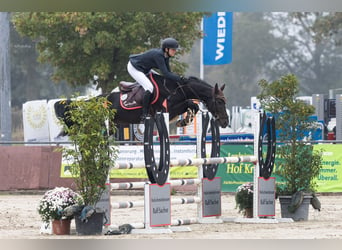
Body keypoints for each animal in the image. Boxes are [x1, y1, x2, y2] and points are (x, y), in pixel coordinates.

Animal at [54, 72, 230, 131]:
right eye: (219, 102)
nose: (225, 122)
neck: (176, 89)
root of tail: (91, 101)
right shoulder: (167, 110)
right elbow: (190, 104)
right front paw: (184, 121)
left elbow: (192, 105)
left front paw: (184, 120)